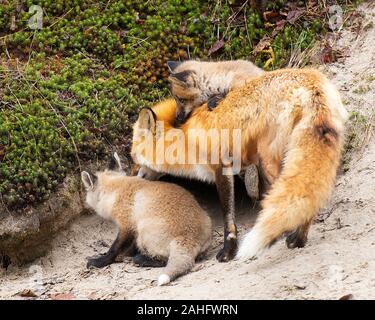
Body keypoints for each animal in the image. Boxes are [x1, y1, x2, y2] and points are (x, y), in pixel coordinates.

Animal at [132, 69, 350, 262]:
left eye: (134, 157)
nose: (135, 177)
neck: (186, 137)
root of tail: (311, 82)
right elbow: (262, 197)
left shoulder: (222, 166)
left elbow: (228, 215)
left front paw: (228, 251)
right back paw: (298, 239)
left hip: (270, 160)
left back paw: (293, 238)